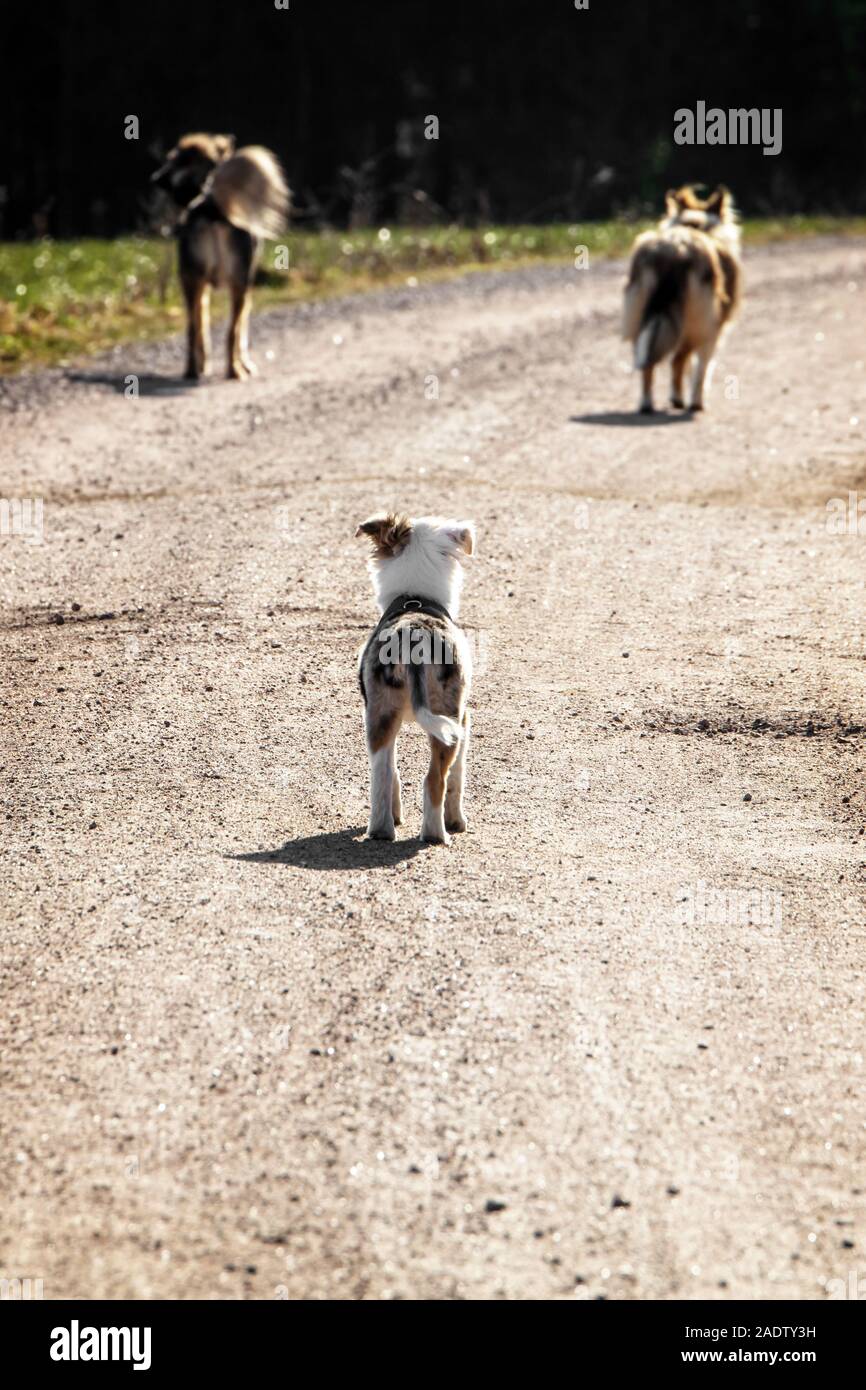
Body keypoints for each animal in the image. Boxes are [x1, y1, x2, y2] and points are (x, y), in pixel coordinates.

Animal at [152, 132, 291, 380]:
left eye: (174, 160)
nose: (155, 178)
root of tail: (211, 207)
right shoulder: (246, 282)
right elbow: (242, 328)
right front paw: (246, 364)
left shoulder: (202, 285)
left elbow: (202, 325)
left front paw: (204, 364)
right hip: (239, 282)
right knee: (232, 331)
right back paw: (234, 370)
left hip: (190, 279)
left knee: (192, 328)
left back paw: (192, 370)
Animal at [354, 511, 475, 834]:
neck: (415, 595)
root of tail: (414, 637)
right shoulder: (464, 719)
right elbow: (457, 777)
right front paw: (457, 821)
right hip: (448, 718)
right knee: (435, 780)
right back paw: (437, 834)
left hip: (379, 714)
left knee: (382, 775)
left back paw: (382, 830)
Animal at [625, 184, 739, 411]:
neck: (696, 226)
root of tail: (674, 250)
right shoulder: (714, 329)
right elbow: (701, 368)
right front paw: (696, 400)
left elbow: (691, 368)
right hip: (696, 322)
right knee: (677, 360)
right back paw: (682, 401)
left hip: (640, 316)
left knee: (647, 363)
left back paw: (647, 403)